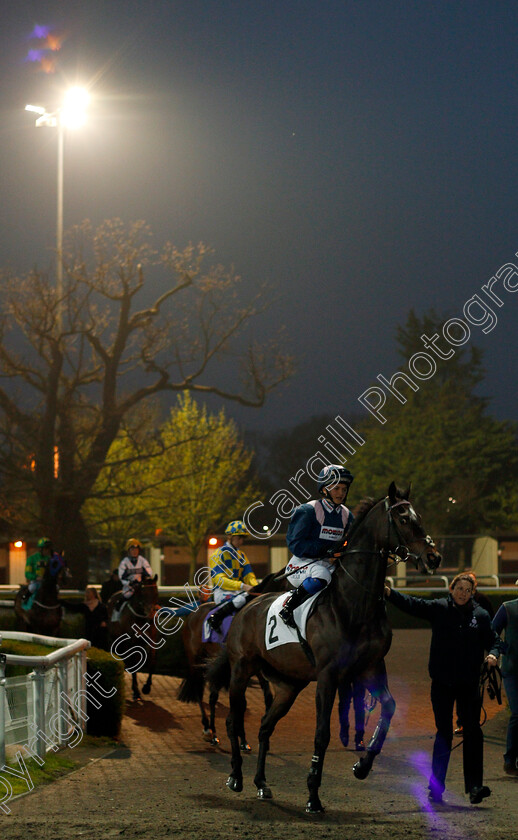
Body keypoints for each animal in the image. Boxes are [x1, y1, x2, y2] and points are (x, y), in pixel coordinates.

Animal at [179, 572, 292, 748]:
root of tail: (193, 613)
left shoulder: (257, 668)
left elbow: (265, 696)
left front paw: (246, 739)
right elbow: (241, 702)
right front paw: (242, 738)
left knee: (211, 696)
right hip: (195, 659)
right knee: (200, 691)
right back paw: (208, 730)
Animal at [207, 486, 442, 812]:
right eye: (404, 518)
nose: (434, 557)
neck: (353, 604)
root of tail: (245, 607)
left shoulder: (370, 666)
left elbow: (388, 708)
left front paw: (362, 766)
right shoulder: (329, 676)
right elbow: (322, 734)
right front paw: (313, 795)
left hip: (289, 684)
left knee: (266, 726)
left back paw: (262, 783)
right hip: (242, 669)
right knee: (233, 720)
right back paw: (236, 777)